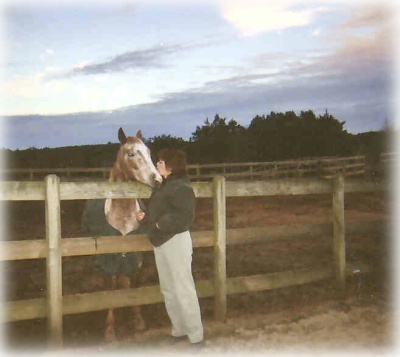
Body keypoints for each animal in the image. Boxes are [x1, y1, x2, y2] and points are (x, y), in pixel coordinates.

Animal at [81, 127, 162, 340]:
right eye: (130, 153)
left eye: (148, 152)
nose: (158, 179)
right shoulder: (108, 258)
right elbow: (110, 287)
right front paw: (109, 330)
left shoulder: (135, 257)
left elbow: (133, 284)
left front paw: (139, 322)